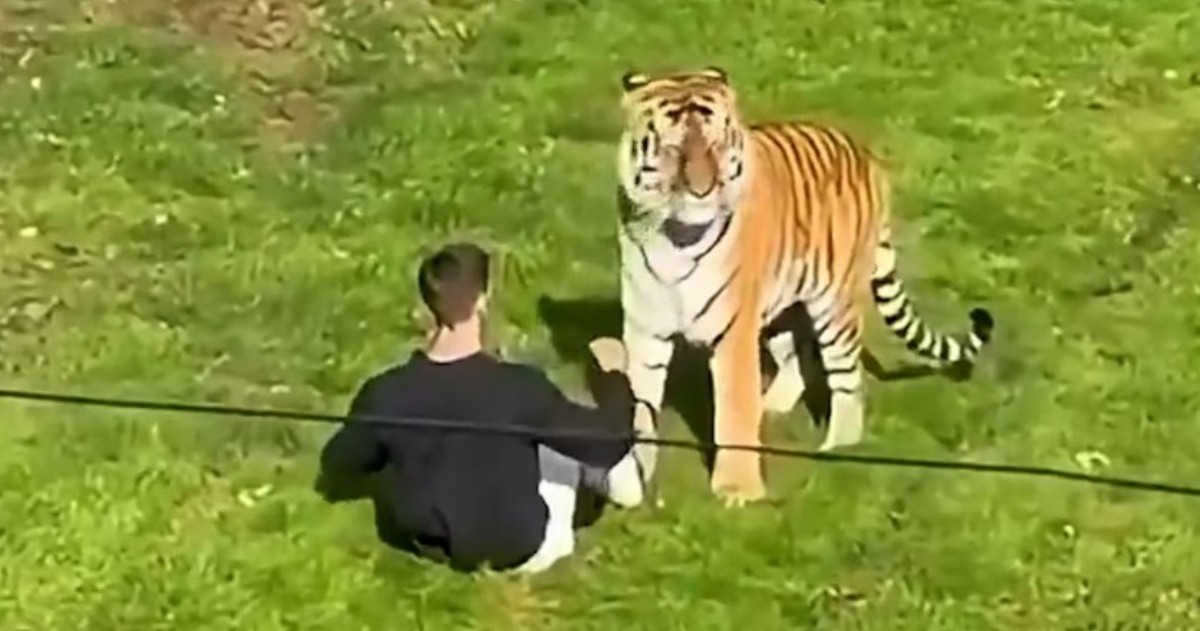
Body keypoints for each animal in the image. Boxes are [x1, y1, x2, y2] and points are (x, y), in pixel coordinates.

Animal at [613, 66, 995, 507]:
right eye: (675, 150)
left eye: (716, 145)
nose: (703, 191)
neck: (673, 235)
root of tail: (865, 157)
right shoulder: (645, 329)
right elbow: (638, 403)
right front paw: (633, 475)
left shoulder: (733, 331)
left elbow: (733, 410)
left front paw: (738, 490)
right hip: (782, 303)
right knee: (795, 354)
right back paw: (772, 407)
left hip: (835, 306)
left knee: (846, 379)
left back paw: (837, 449)